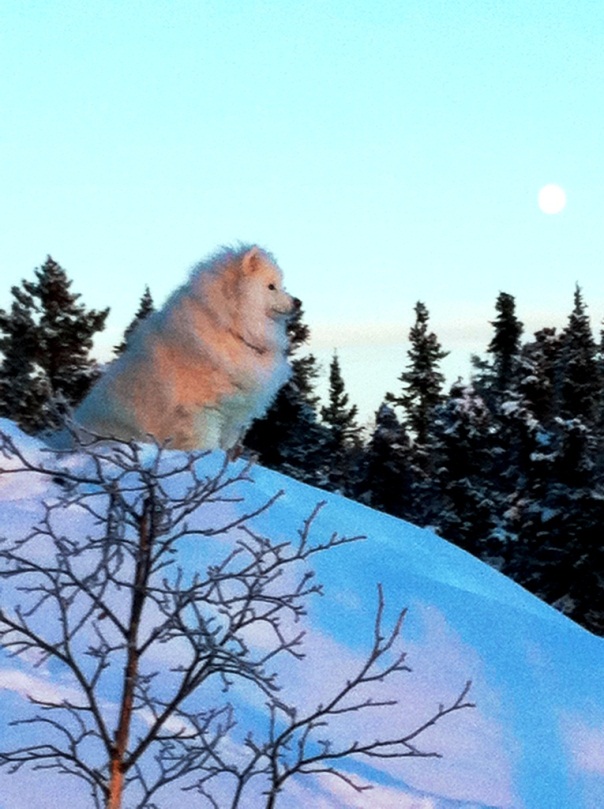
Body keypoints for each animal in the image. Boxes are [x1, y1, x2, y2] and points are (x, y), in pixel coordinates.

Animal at [69, 243, 300, 452]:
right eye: (271, 286)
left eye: (281, 285)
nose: (298, 302)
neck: (230, 327)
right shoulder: (202, 411)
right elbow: (206, 444)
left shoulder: (234, 416)